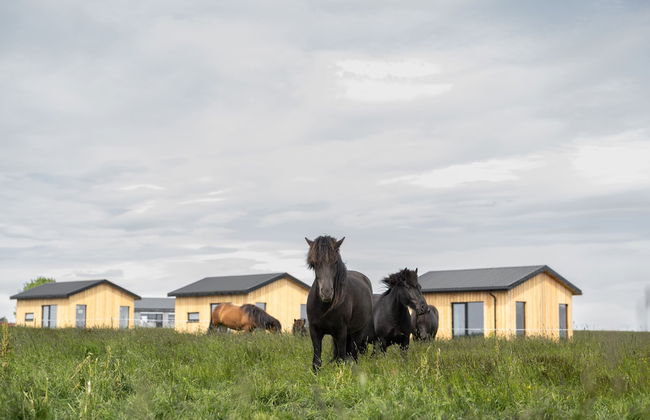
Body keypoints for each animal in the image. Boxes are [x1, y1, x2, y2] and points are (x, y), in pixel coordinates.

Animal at [305, 235, 373, 371]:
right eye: (314, 264)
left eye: (335, 262)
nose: (326, 293)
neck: (325, 308)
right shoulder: (314, 331)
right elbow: (317, 361)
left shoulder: (341, 332)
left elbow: (341, 359)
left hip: (357, 333)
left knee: (353, 355)